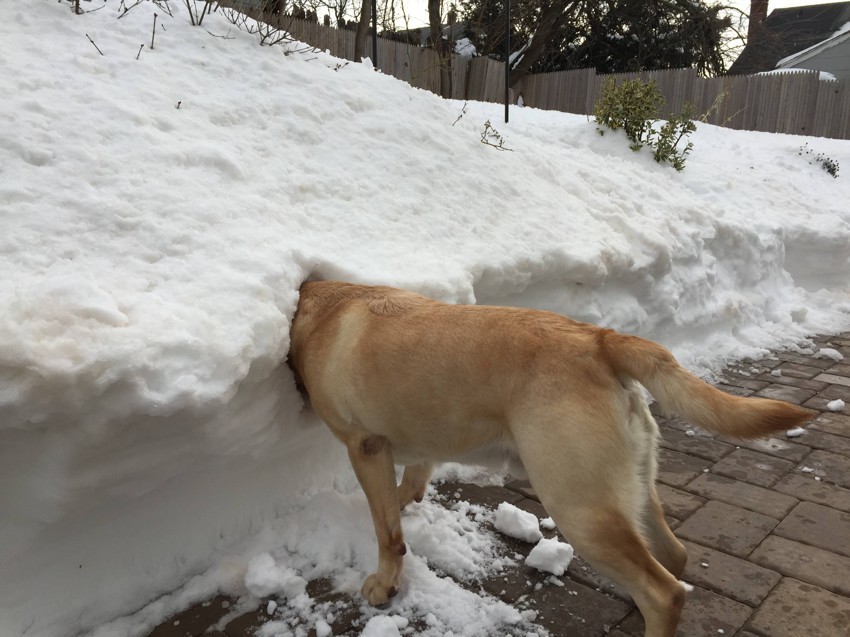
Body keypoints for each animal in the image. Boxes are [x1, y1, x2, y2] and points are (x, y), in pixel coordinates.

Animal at [290, 280, 808, 632]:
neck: (320, 308)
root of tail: (601, 340)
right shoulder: (418, 448)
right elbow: (410, 487)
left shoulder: (365, 446)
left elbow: (387, 533)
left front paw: (385, 584)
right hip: (630, 490)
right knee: (673, 559)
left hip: (578, 506)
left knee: (664, 592)